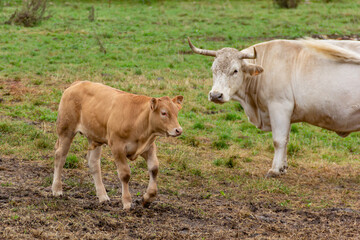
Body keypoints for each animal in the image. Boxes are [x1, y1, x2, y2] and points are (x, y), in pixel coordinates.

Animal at [51, 81, 183, 209]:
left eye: (177, 113)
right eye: (164, 113)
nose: (178, 130)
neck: (138, 120)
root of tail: (77, 83)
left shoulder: (148, 147)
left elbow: (154, 168)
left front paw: (148, 198)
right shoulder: (117, 147)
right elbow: (125, 174)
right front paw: (127, 202)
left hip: (94, 136)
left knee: (93, 163)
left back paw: (103, 196)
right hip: (66, 130)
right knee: (60, 156)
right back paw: (57, 189)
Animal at [188, 37, 360, 176]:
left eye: (235, 70)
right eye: (213, 70)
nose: (215, 95)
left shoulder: (279, 106)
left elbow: (278, 140)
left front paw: (275, 170)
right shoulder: (287, 113)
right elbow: (286, 139)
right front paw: (283, 167)